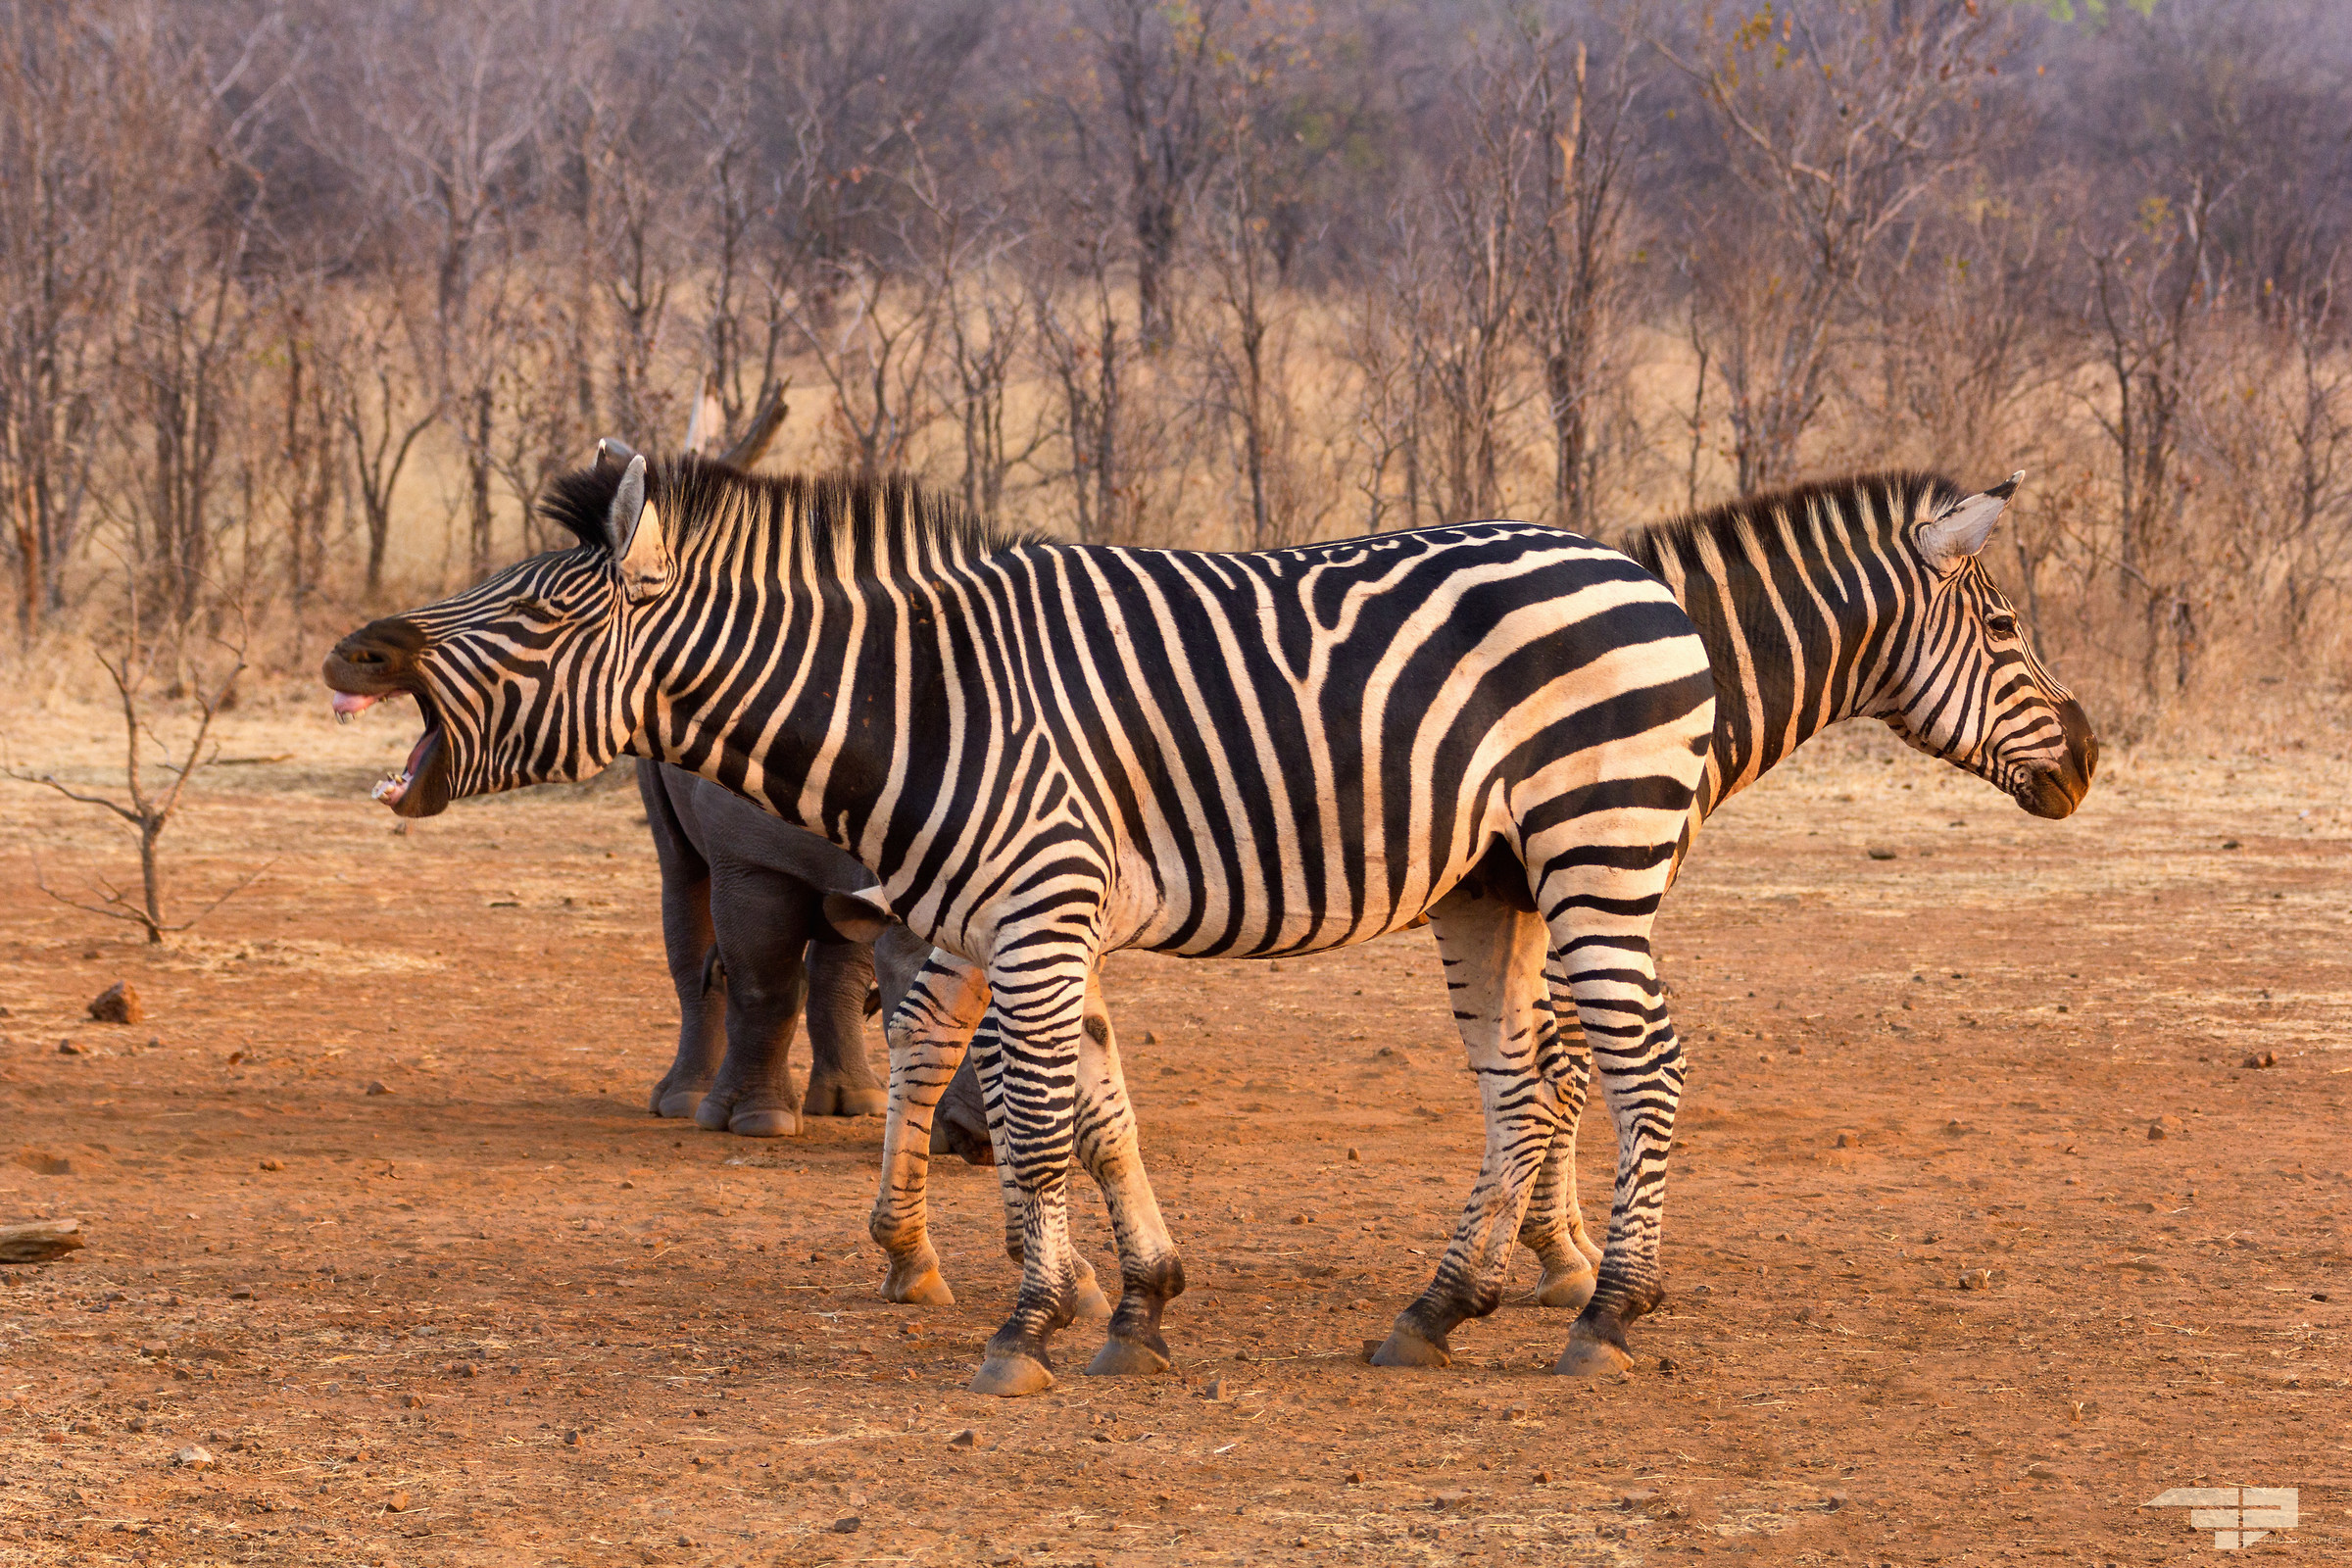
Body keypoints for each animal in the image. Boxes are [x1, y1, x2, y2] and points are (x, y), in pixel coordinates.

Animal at [322, 442, 1717, 1393]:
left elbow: (1040, 1125)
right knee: (1520, 1080)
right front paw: (1140, 1306)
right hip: (1491, 883)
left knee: (1645, 1061)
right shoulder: (1031, 919)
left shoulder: (1041, 911)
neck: (923, 705)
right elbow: (1099, 1114)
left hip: (1596, 842)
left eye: (539, 611)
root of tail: (1630, 571)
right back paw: (1438, 1308)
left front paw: (1028, 1327)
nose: (352, 653)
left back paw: (1609, 1312)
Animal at [857, 467, 2096, 1369]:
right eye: (2003, 625)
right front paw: (1566, 1258)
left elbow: (1542, 1071)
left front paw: (1542, 1252)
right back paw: (975, 1258)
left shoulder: (1530, 885)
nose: (2089, 758)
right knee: (949, 1033)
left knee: (934, 1027)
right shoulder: (1575, 871)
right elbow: (1568, 1069)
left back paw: (939, 1252)